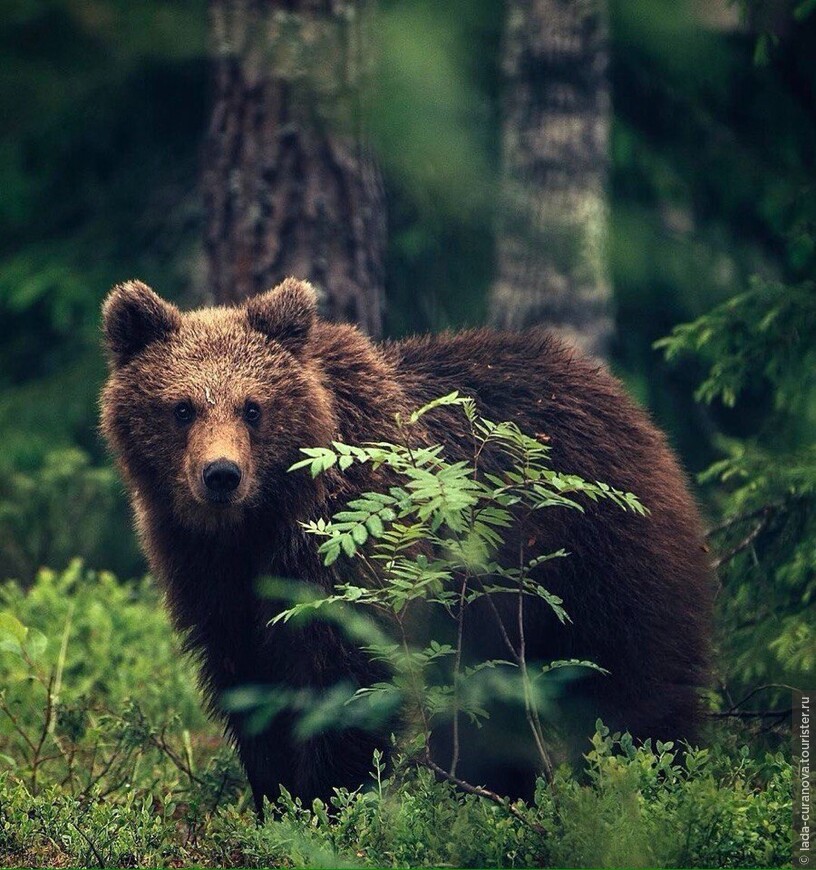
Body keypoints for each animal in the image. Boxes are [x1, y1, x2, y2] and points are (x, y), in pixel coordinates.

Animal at [100, 278, 712, 812]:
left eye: (253, 407)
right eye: (182, 407)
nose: (222, 475)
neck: (260, 526)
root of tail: (628, 404)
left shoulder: (351, 554)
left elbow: (347, 684)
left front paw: (330, 803)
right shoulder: (213, 584)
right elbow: (252, 692)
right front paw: (276, 803)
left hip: (598, 557)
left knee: (639, 682)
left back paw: (664, 779)